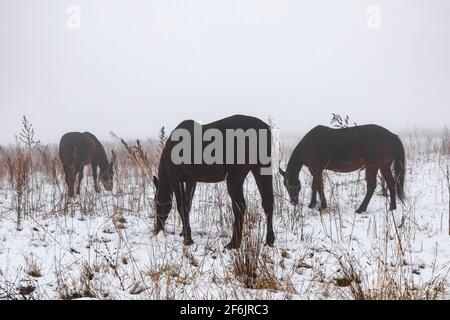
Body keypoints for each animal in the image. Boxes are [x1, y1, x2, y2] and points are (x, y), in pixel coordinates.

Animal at [154, 115, 274, 250]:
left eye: (156, 201)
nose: (158, 228)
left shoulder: (176, 180)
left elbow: (182, 207)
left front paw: (188, 239)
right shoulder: (191, 181)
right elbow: (188, 205)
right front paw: (184, 233)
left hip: (234, 178)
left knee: (240, 206)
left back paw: (234, 243)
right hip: (260, 170)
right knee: (267, 202)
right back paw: (269, 240)